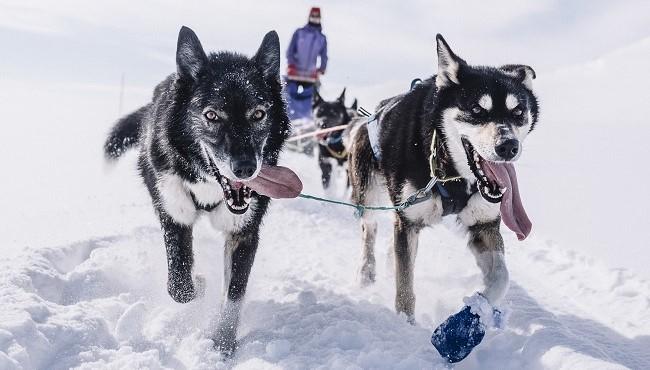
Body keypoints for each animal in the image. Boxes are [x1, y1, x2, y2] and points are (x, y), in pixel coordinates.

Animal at [103, 26, 302, 356]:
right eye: (211, 115)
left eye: (258, 114)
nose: (245, 168)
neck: (209, 185)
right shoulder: (173, 214)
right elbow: (180, 285)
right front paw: (199, 283)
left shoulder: (244, 234)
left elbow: (233, 296)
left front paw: (222, 345)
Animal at [350, 33, 536, 326]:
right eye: (476, 109)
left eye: (518, 112)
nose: (508, 146)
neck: (450, 171)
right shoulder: (408, 220)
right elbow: (405, 287)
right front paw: (406, 325)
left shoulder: (484, 225)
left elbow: (501, 276)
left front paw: (479, 304)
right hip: (367, 197)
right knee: (369, 230)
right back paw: (365, 273)